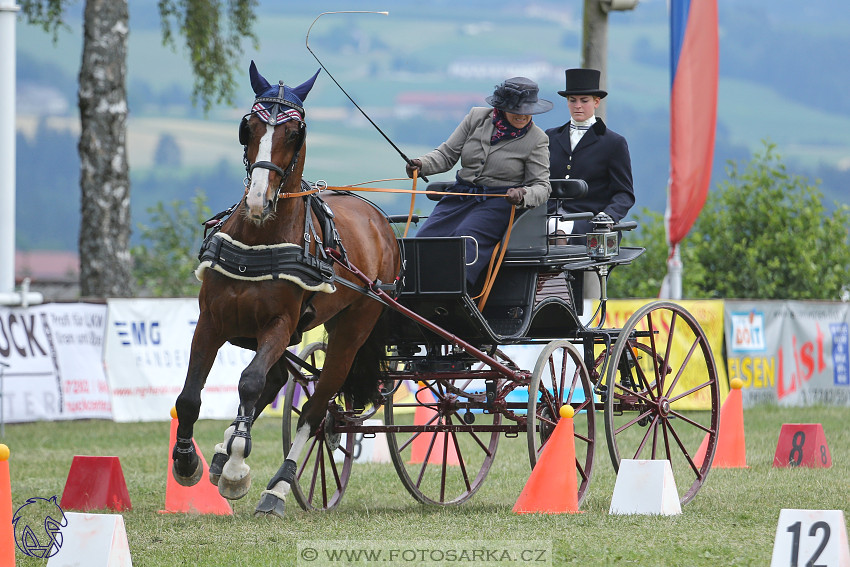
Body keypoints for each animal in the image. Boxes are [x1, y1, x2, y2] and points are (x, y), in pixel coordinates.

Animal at [172, 61, 400, 520]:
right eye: (249, 126)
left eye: (294, 133)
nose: (259, 200)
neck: (259, 240)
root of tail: (378, 219)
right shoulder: (212, 320)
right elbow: (190, 397)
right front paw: (189, 462)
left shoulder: (279, 324)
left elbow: (249, 382)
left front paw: (238, 471)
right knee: (280, 379)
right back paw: (224, 450)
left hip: (352, 330)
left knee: (318, 407)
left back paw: (277, 485)